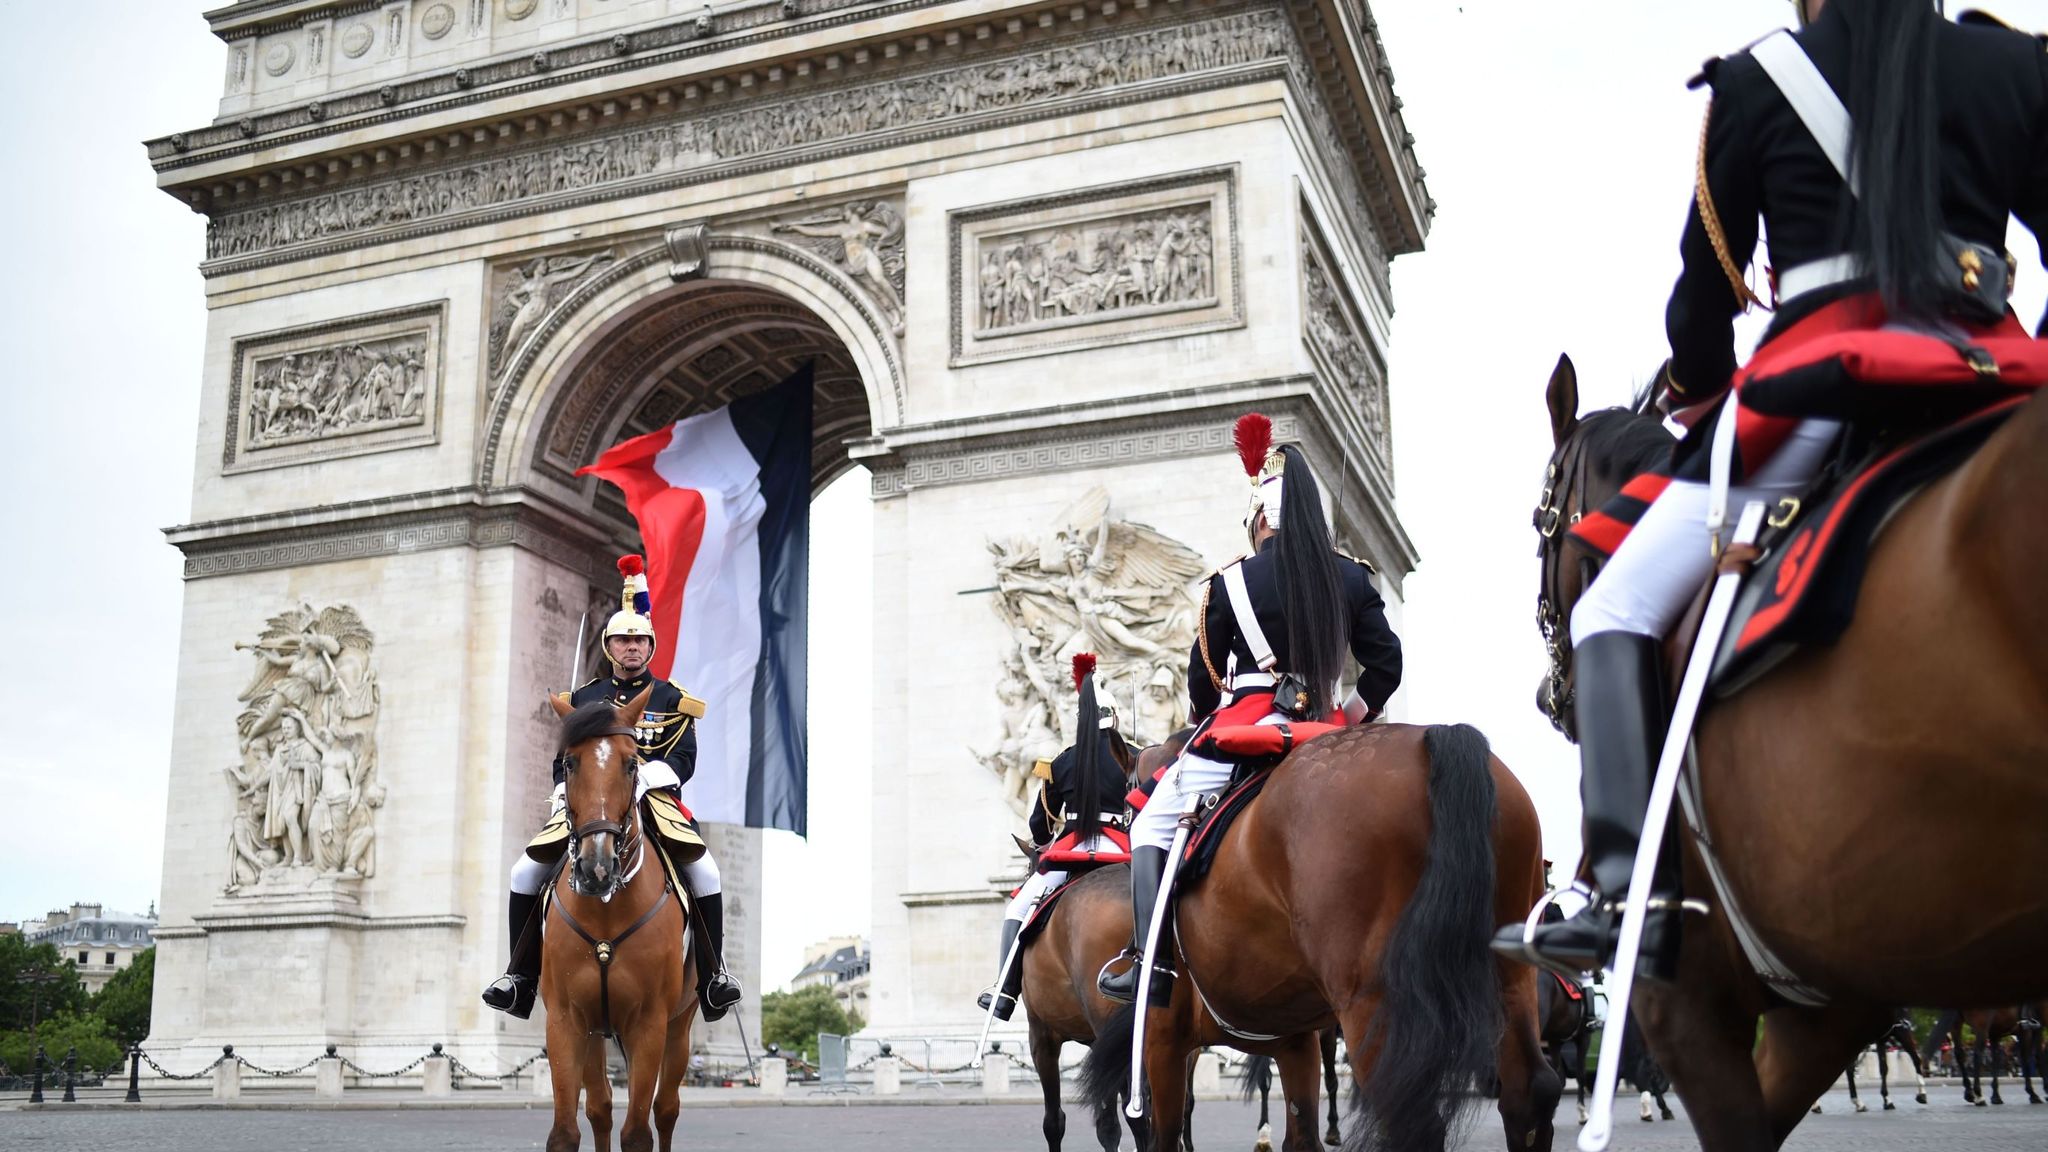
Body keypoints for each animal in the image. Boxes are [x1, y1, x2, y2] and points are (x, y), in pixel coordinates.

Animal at [544, 684, 696, 1139]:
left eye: (631, 764)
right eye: (569, 762)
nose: (596, 868)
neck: (605, 912)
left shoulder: (649, 1024)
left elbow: (637, 1132)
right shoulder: (566, 1021)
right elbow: (566, 1130)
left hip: (679, 1025)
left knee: (666, 1109)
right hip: (597, 1030)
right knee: (600, 1107)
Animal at [1089, 721, 1548, 1139]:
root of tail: (1433, 737)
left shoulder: (1162, 1041)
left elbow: (1163, 1131)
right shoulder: (1295, 1044)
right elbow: (1300, 1130)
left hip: (1372, 1004)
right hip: (1510, 978)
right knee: (1529, 1092)